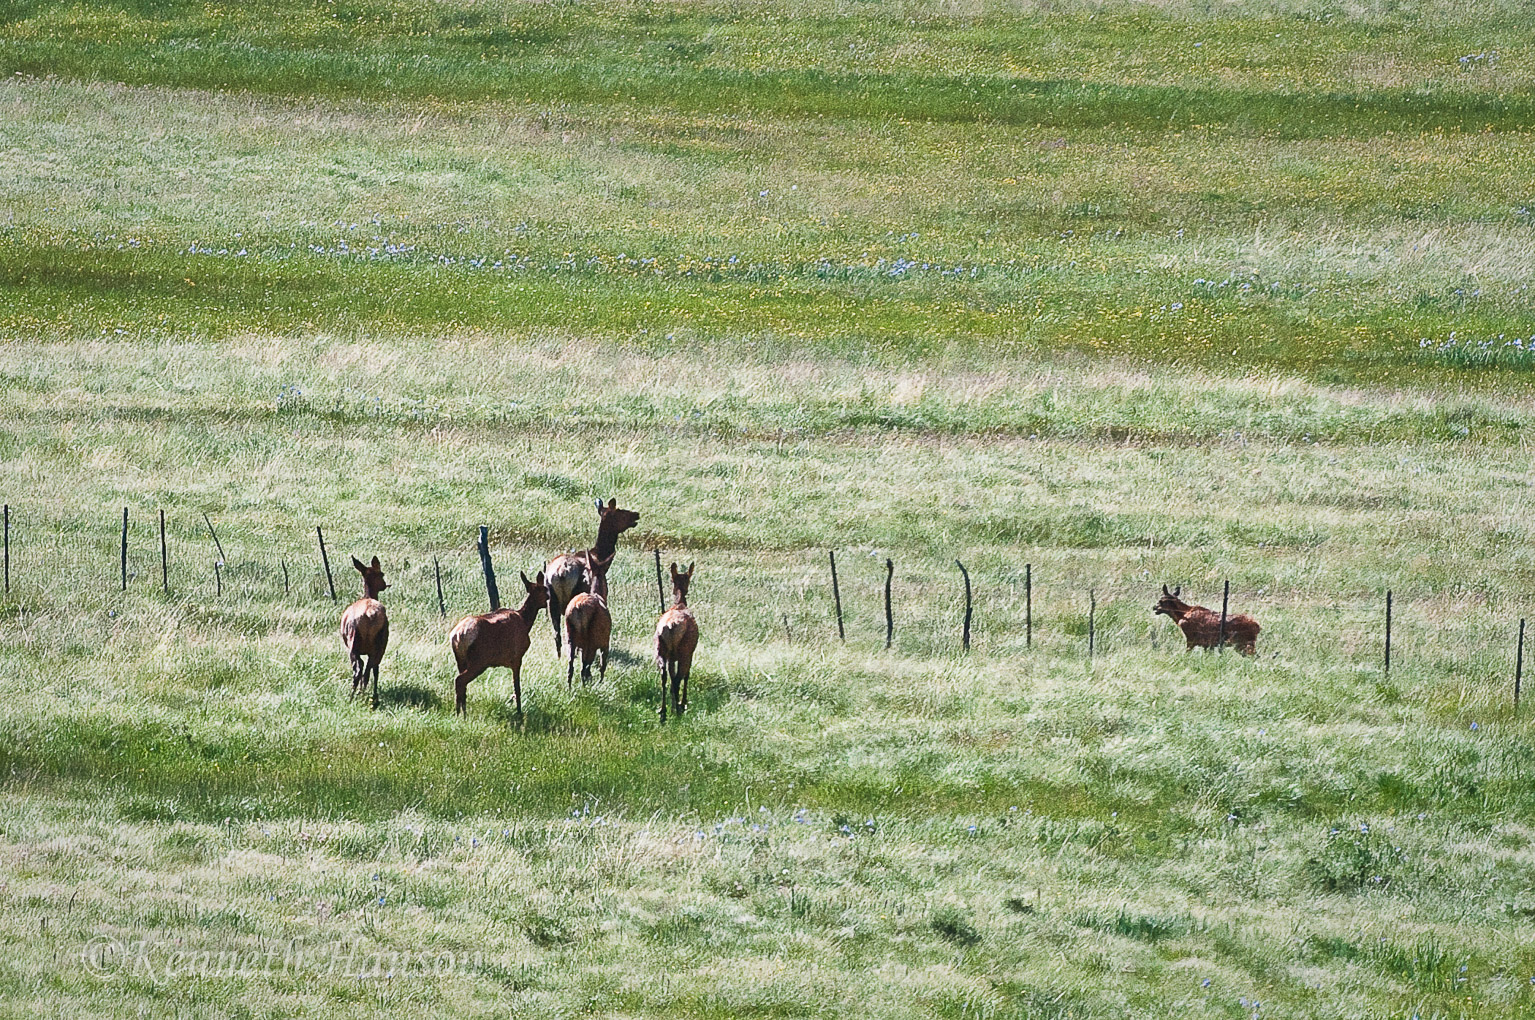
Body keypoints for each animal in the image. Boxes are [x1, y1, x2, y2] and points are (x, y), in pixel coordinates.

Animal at [342, 559, 389, 709]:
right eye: (381, 573)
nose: (384, 584)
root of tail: (369, 614)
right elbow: (374, 669)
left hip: (354, 644)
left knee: (360, 669)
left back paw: (354, 696)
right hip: (378, 643)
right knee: (368, 669)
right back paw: (367, 696)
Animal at [448, 565, 549, 715]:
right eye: (544, 589)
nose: (548, 600)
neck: (525, 621)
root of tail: (458, 635)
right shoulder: (517, 657)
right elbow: (517, 688)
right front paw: (519, 713)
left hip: (460, 660)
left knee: (462, 684)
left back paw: (461, 713)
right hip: (479, 660)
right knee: (460, 680)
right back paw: (460, 713)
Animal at [543, 494, 638, 654]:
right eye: (621, 512)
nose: (636, 514)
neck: (599, 556)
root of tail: (561, 572)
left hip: (551, 599)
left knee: (557, 634)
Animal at [567, 553, 614, 688]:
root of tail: (579, 608)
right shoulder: (605, 642)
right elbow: (603, 665)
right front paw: (601, 682)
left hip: (571, 637)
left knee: (570, 667)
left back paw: (570, 688)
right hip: (592, 639)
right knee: (584, 668)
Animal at [650, 562, 699, 721]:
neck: (680, 604)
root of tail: (670, 626)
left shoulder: (671, 657)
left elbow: (671, 676)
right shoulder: (691, 652)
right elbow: (686, 675)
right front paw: (682, 703)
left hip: (660, 648)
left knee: (664, 675)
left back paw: (664, 711)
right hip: (684, 649)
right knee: (679, 678)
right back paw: (678, 709)